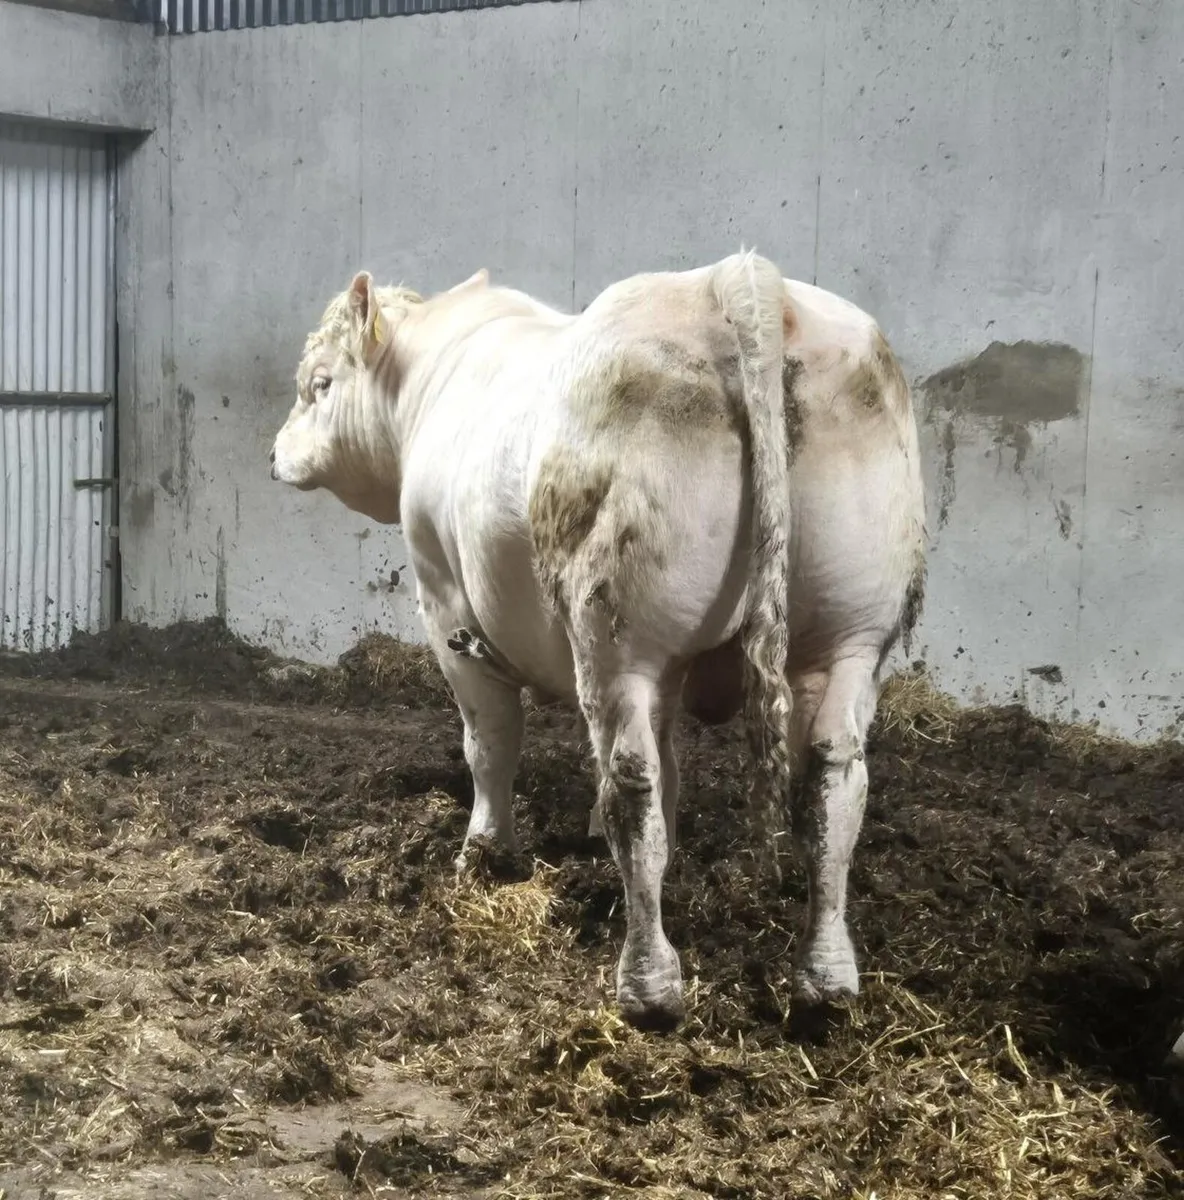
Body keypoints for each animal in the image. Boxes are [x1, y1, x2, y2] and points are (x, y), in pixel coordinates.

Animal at [270, 251, 926, 1030]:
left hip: (616, 634)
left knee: (629, 780)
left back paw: (648, 983)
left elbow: (490, 740)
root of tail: (734, 278)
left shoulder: (444, 599)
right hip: (850, 631)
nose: (275, 452)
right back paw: (825, 978)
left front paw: (484, 854)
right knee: (831, 778)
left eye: (319, 384)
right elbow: (670, 761)